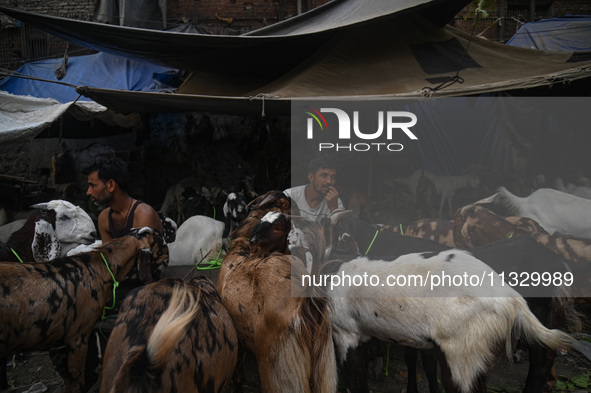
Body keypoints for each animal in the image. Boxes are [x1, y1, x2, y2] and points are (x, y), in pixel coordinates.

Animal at [0, 227, 169, 392]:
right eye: (162, 241)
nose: (168, 258)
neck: (100, 265)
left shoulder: (62, 342)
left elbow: (67, 378)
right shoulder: (77, 338)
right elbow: (77, 379)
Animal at [217, 189, 338, 388]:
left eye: (278, 228)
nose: (254, 248)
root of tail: (307, 306)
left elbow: (239, 376)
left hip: (278, 371)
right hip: (323, 369)